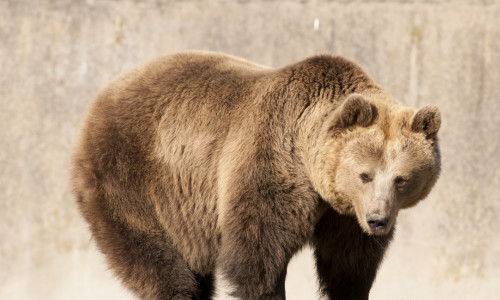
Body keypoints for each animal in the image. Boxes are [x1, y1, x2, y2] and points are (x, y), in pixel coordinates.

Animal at [72, 50, 440, 298]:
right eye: (365, 174)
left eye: (401, 179)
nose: (378, 220)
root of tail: (104, 95)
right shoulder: (271, 163)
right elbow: (256, 255)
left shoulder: (345, 216)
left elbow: (348, 265)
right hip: (131, 178)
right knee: (159, 262)